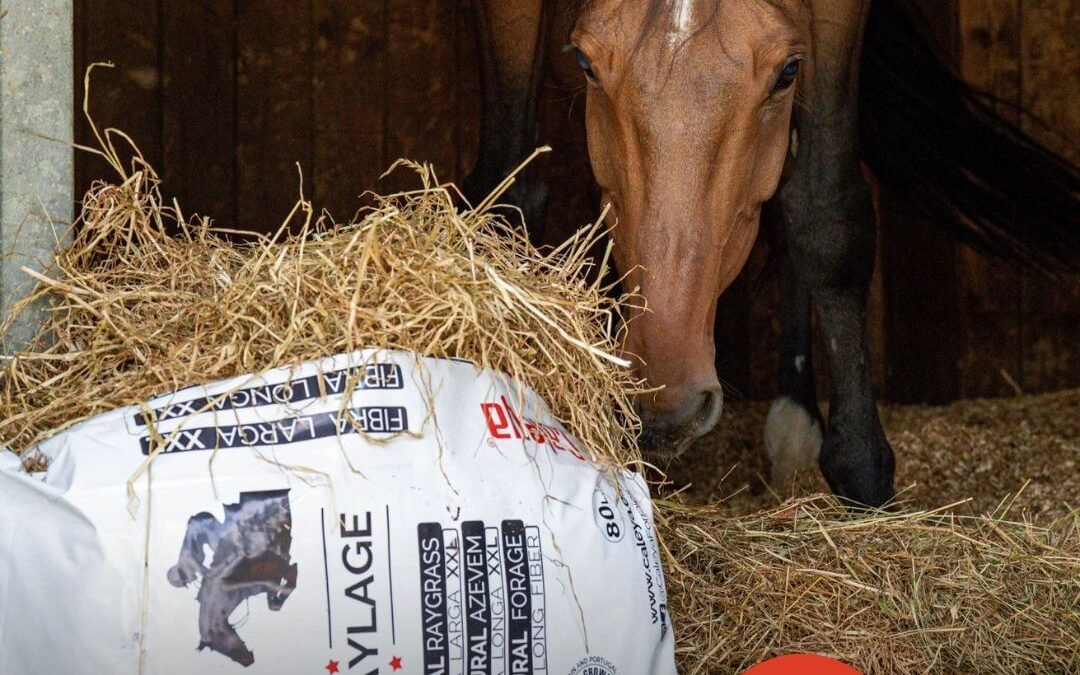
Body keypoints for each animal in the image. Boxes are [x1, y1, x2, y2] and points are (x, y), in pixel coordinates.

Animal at [461, 0, 1079, 508]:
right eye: (586, 63)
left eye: (787, 73)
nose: (667, 398)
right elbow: (509, 189)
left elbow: (824, 212)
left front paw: (863, 472)